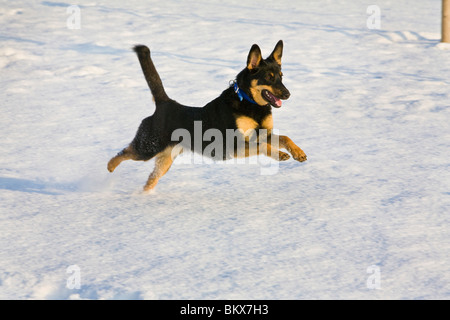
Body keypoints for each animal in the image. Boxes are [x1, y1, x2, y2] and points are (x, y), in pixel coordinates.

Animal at [107, 39, 308, 190]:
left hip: (165, 159)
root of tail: (165, 103)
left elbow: (285, 137)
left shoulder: (263, 133)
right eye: (269, 77)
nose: (288, 94)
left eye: (281, 76)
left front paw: (298, 152)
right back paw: (110, 167)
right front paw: (280, 155)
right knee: (124, 152)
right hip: (148, 147)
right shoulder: (235, 145)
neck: (249, 103)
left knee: (150, 178)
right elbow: (263, 147)